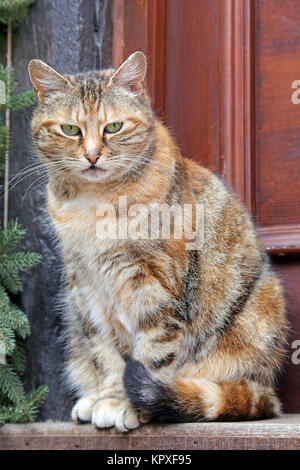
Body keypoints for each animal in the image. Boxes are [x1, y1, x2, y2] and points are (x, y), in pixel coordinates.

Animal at [28, 52, 288, 434]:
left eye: (114, 127)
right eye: (70, 129)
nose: (92, 156)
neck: (96, 204)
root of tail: (267, 389)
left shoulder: (157, 284)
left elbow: (151, 354)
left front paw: (128, 405)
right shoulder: (87, 287)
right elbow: (105, 351)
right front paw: (109, 397)